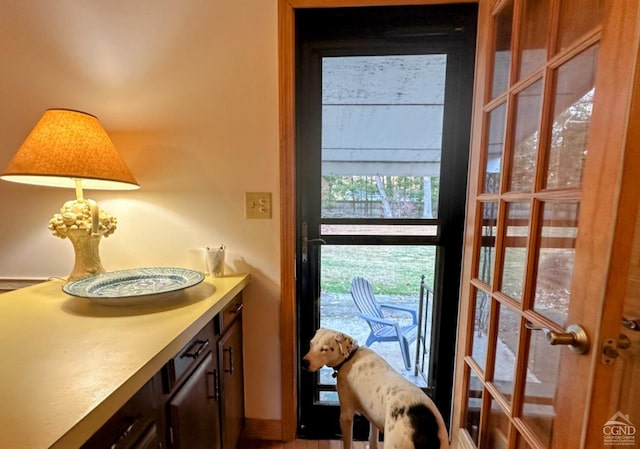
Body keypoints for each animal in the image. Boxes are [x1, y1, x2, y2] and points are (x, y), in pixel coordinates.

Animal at [304, 326, 450, 448]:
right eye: (311, 343)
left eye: (324, 349)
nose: (304, 362)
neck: (350, 357)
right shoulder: (372, 417)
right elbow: (372, 439)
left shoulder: (346, 415)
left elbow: (348, 443)